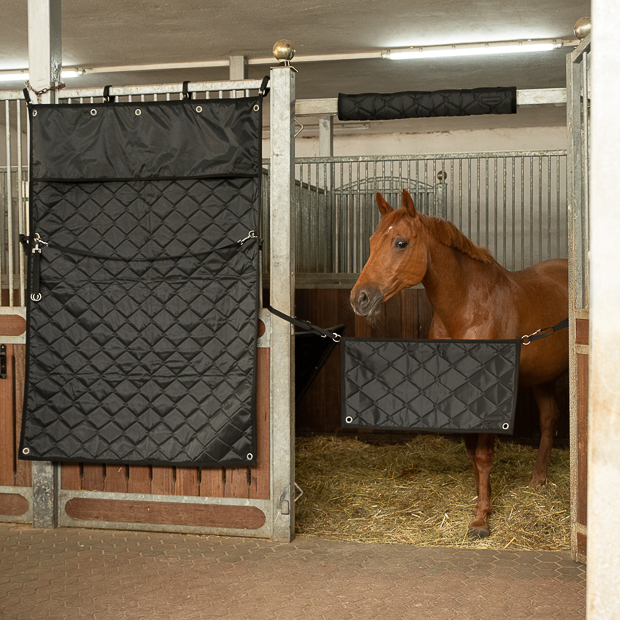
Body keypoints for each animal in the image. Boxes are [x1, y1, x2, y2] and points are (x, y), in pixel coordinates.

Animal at [348, 190, 568, 536]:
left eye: (400, 242)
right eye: (371, 241)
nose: (360, 299)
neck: (469, 307)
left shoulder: (490, 391)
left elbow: (484, 454)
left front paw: (481, 520)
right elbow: (471, 452)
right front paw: (480, 500)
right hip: (543, 376)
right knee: (549, 420)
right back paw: (537, 480)